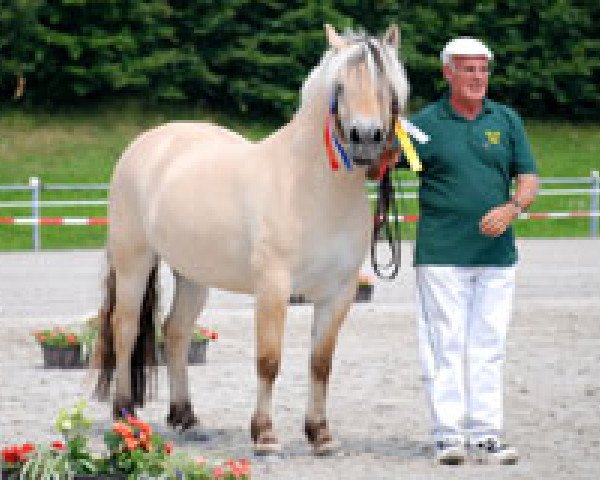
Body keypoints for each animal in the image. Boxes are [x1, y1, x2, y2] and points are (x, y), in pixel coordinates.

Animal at [94, 24, 410, 456]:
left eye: (387, 86)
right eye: (340, 87)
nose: (366, 137)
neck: (312, 187)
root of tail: (147, 143)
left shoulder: (340, 292)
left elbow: (320, 363)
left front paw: (320, 435)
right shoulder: (273, 286)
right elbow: (269, 360)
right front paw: (264, 435)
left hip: (193, 275)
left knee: (176, 332)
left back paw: (186, 417)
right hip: (134, 263)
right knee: (124, 329)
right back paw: (125, 413)